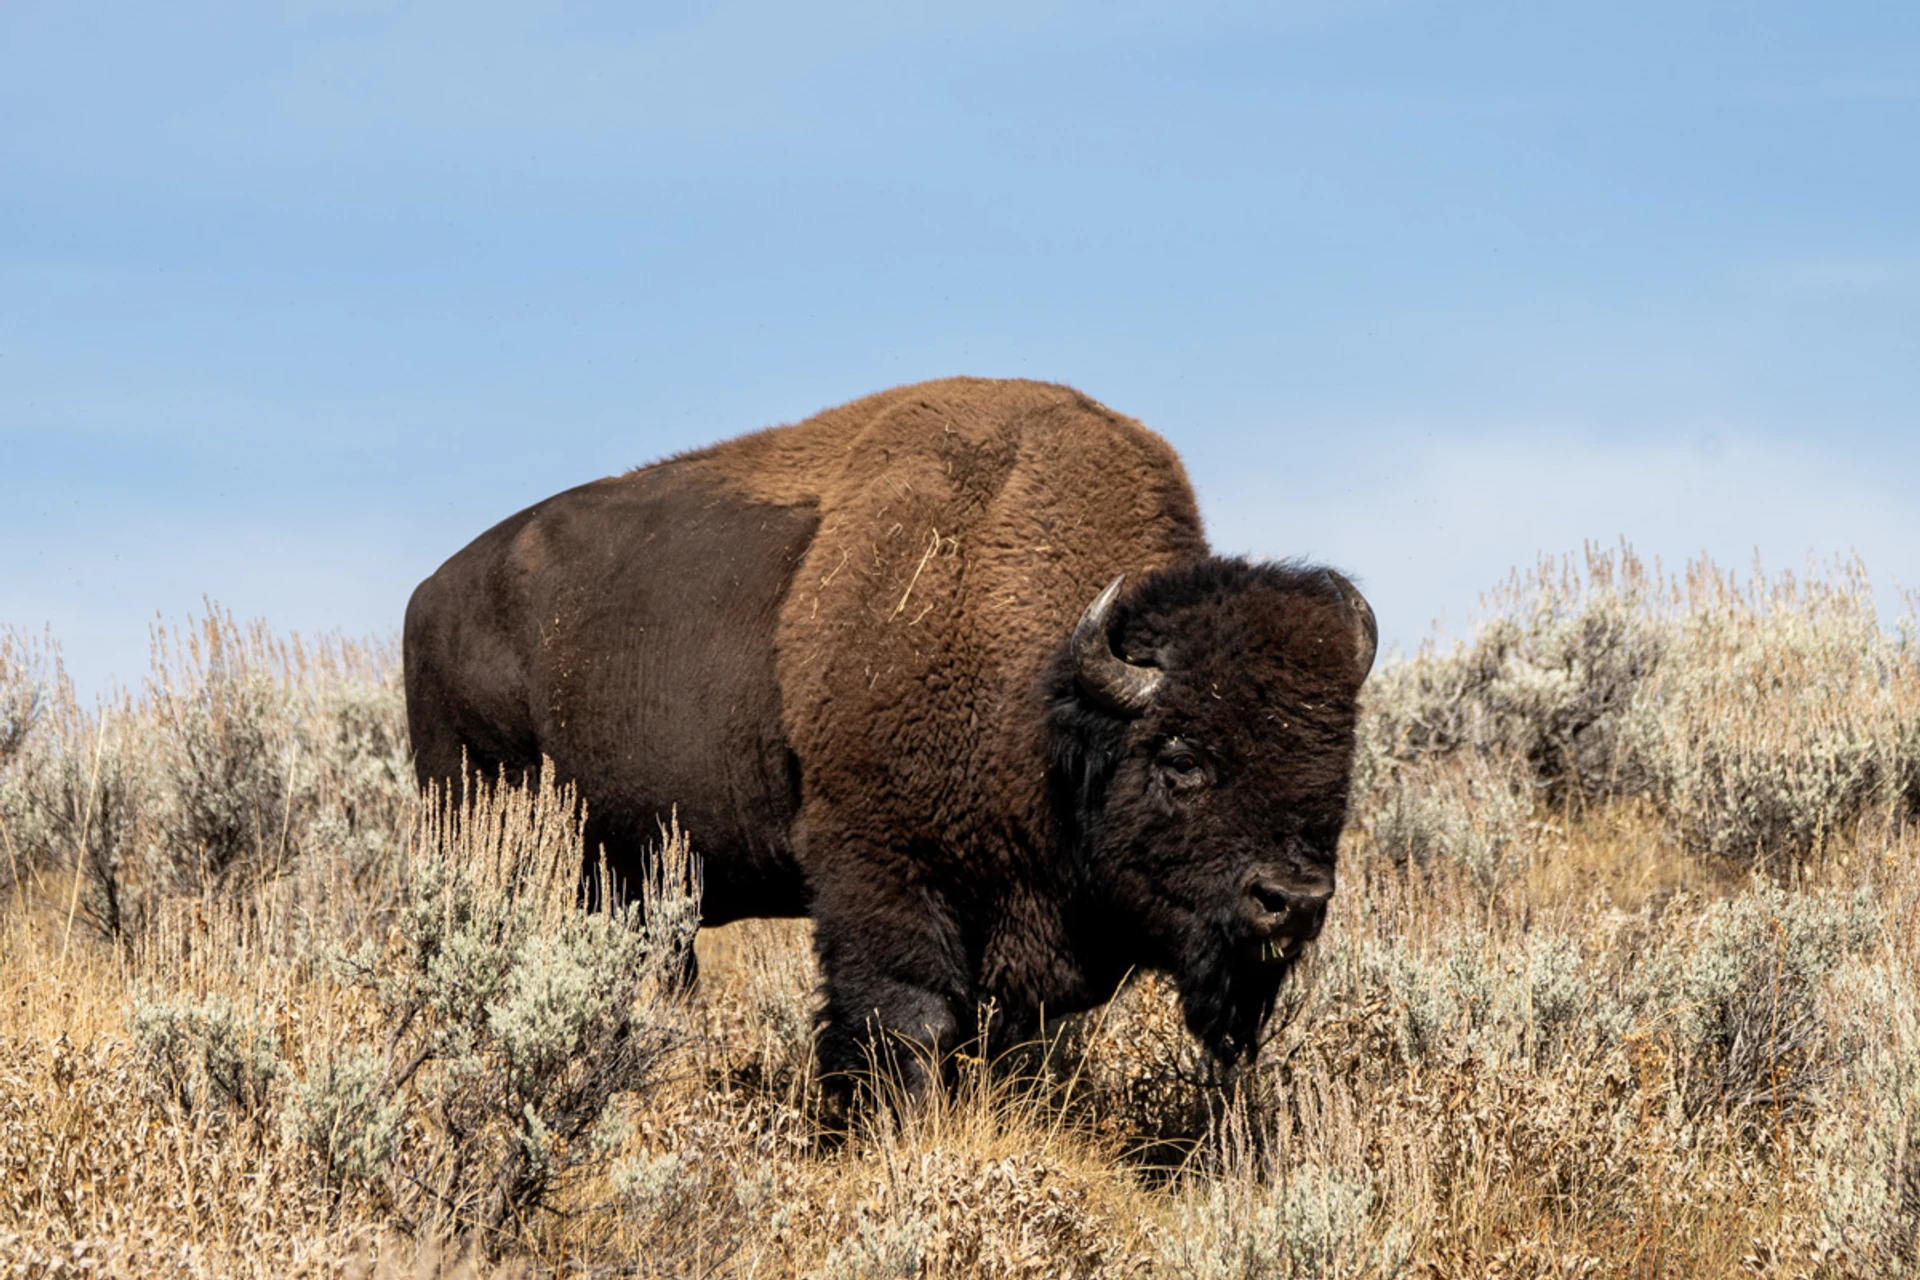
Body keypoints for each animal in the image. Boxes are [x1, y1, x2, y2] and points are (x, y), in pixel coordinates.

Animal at [404, 377, 1375, 1089]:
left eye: (1337, 769)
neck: (1051, 700)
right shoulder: (882, 872)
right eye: (1181, 758)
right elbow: (905, 1023)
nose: (1291, 901)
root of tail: (429, 595)